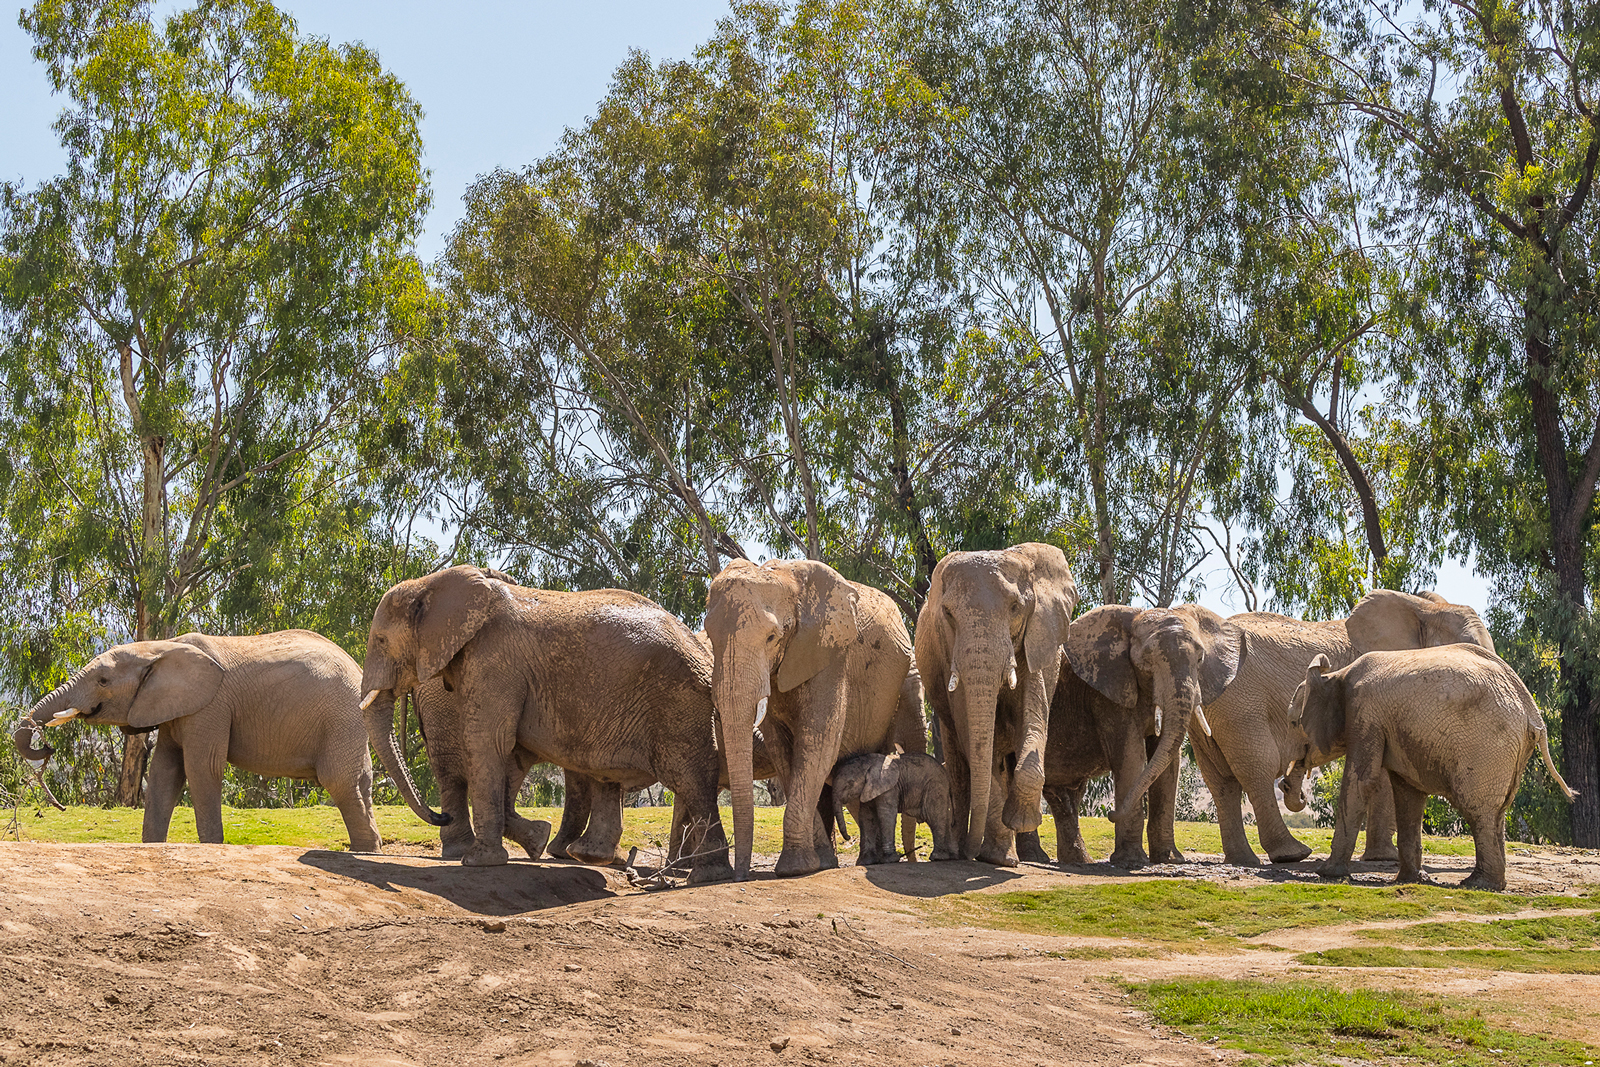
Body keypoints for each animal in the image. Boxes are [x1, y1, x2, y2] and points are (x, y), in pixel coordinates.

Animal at [14, 633, 380, 851]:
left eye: (103, 681)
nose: (46, 747)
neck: (160, 646)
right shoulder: (175, 709)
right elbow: (165, 772)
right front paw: (153, 847)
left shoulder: (210, 706)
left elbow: (202, 768)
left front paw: (213, 848)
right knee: (359, 781)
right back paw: (370, 850)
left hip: (340, 716)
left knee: (340, 780)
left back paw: (364, 853)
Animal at [360, 563, 729, 883]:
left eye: (380, 641)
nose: (440, 814)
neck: (432, 583)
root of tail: (698, 648)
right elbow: (509, 753)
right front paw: (536, 841)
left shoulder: (494, 661)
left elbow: (489, 741)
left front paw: (480, 862)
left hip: (676, 700)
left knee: (690, 779)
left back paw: (704, 875)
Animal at [710, 556, 921, 883]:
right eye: (709, 637)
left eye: (772, 637)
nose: (740, 876)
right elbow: (784, 752)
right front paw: (818, 862)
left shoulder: (832, 654)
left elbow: (817, 743)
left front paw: (796, 868)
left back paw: (877, 861)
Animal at [915, 547, 1075, 863]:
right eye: (948, 614)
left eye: (1015, 608)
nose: (970, 853)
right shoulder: (949, 653)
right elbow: (973, 741)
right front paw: (996, 857)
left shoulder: (1032, 643)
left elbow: (1035, 722)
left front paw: (1017, 823)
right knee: (958, 762)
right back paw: (952, 853)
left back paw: (1026, 855)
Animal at [1286, 643, 1574, 895]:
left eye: (1292, 723)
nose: (1291, 788)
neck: (1337, 675)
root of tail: (1532, 711)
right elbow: (1407, 795)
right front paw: (1411, 879)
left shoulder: (1364, 713)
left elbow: (1361, 782)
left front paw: (1327, 874)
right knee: (1496, 813)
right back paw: (1488, 883)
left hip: (1486, 746)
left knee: (1477, 810)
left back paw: (1478, 885)